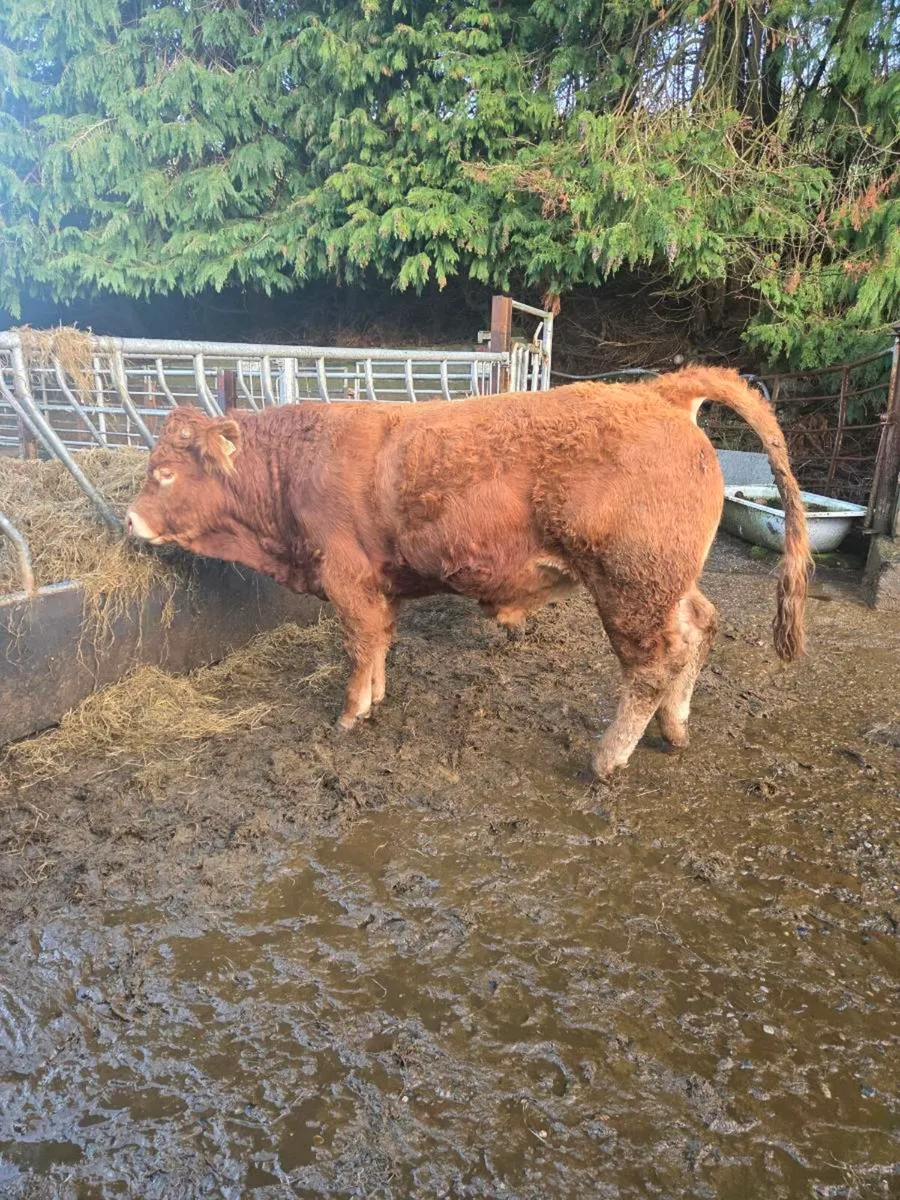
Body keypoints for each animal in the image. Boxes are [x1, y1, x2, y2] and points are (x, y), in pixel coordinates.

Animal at [125, 366, 810, 778]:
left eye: (164, 473)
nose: (129, 519)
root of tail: (656, 391)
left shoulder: (347, 579)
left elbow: (358, 647)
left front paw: (349, 716)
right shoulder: (380, 586)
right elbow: (381, 642)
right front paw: (376, 700)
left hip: (630, 586)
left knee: (652, 664)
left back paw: (608, 758)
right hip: (669, 583)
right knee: (698, 629)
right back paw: (676, 726)